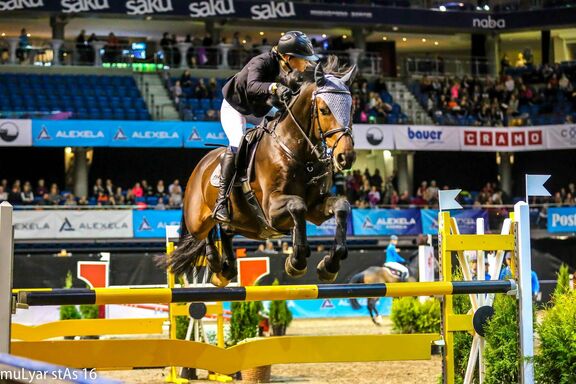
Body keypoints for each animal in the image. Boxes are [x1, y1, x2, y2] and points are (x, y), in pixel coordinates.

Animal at [166, 55, 356, 286]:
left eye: (351, 109)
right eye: (324, 110)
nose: (346, 157)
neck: (296, 150)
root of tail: (200, 166)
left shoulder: (316, 206)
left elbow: (341, 206)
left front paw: (329, 265)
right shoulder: (271, 207)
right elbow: (297, 205)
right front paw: (297, 261)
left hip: (243, 223)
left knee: (225, 231)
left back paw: (226, 270)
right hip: (197, 219)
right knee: (205, 234)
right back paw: (216, 263)